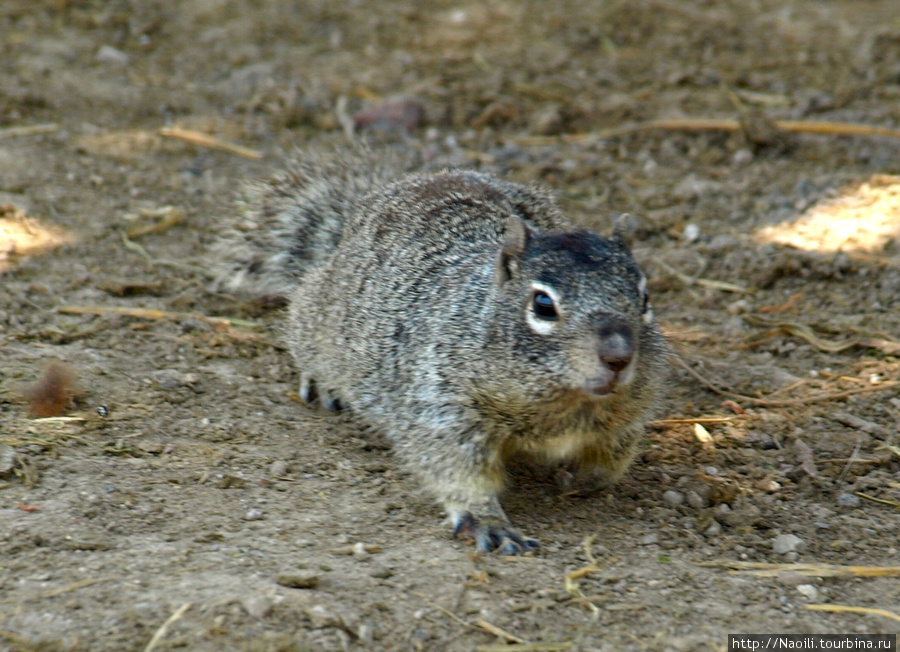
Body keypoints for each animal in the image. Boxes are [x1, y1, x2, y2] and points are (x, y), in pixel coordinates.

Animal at [216, 149, 668, 556]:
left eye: (645, 297)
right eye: (543, 305)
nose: (617, 356)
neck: (567, 404)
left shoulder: (630, 412)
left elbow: (613, 456)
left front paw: (586, 479)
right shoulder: (442, 405)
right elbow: (456, 470)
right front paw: (487, 521)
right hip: (320, 316)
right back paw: (325, 383)